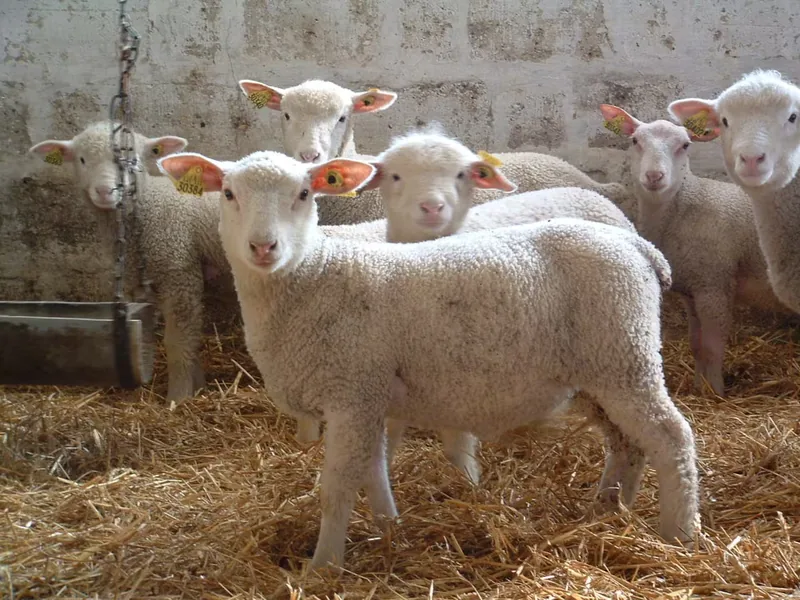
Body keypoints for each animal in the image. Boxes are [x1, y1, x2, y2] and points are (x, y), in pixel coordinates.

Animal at [29, 121, 235, 404]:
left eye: (132, 159)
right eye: (82, 159)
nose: (106, 191)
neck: (149, 204)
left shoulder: (178, 270)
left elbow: (178, 341)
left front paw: (178, 398)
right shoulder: (150, 280)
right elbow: (183, 339)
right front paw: (196, 387)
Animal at [158, 148, 700, 571]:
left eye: (305, 194)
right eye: (228, 193)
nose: (263, 246)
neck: (316, 275)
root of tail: (635, 243)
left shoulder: (350, 390)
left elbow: (338, 487)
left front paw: (322, 567)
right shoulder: (369, 396)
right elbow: (374, 470)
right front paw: (388, 527)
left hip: (626, 354)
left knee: (671, 437)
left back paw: (679, 533)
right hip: (600, 369)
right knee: (627, 442)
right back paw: (609, 510)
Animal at [597, 104, 787, 397]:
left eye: (685, 145)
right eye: (635, 141)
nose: (654, 176)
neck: (685, 205)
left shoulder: (714, 285)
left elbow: (712, 347)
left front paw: (715, 392)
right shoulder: (692, 290)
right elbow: (696, 345)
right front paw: (699, 386)